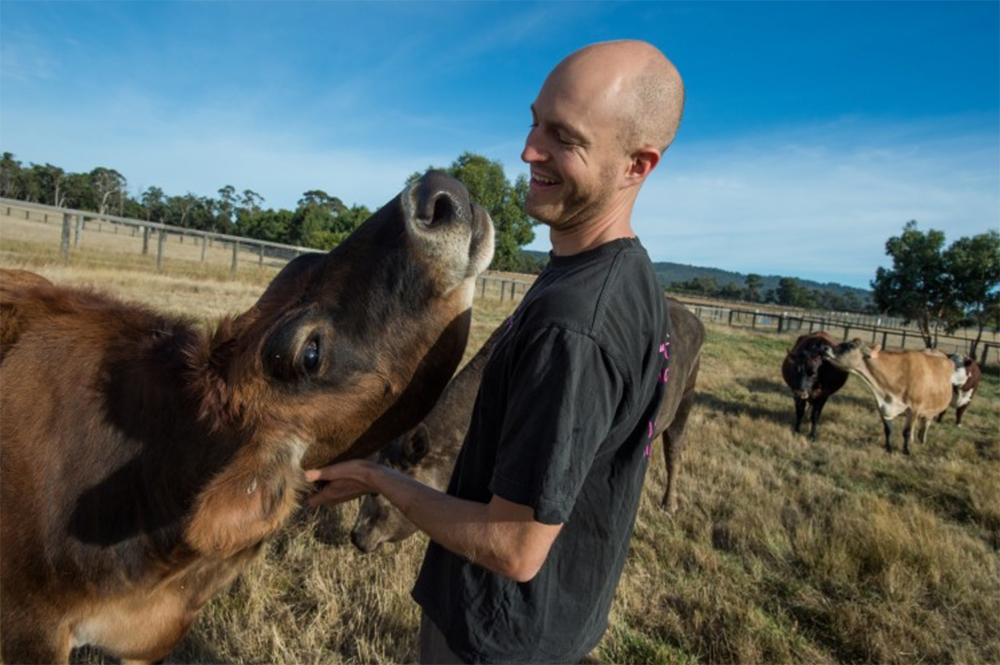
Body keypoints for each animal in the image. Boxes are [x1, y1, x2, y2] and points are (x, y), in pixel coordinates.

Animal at [348, 298, 708, 552]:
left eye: (380, 493)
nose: (356, 536)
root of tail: (696, 319)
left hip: (688, 395)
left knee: (675, 449)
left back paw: (669, 504)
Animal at [820, 340, 952, 454]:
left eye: (851, 345)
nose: (825, 347)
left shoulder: (914, 408)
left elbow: (907, 432)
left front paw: (906, 451)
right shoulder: (883, 407)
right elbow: (888, 430)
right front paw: (888, 448)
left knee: (926, 424)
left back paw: (922, 440)